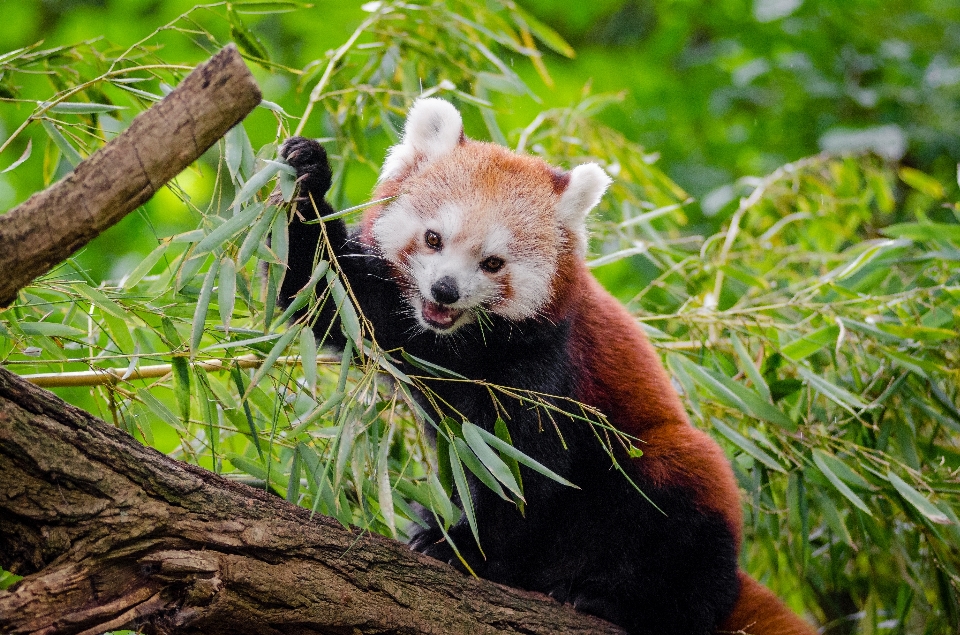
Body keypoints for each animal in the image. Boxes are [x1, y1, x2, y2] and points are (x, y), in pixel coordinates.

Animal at [280, 99, 816, 635]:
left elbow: (523, 467)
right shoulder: (387, 309)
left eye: (493, 263)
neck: (456, 344)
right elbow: (317, 294)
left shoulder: (547, 364)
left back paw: (613, 600)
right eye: (433, 238)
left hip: (667, 478)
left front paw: (469, 549)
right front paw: (307, 173)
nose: (445, 290)